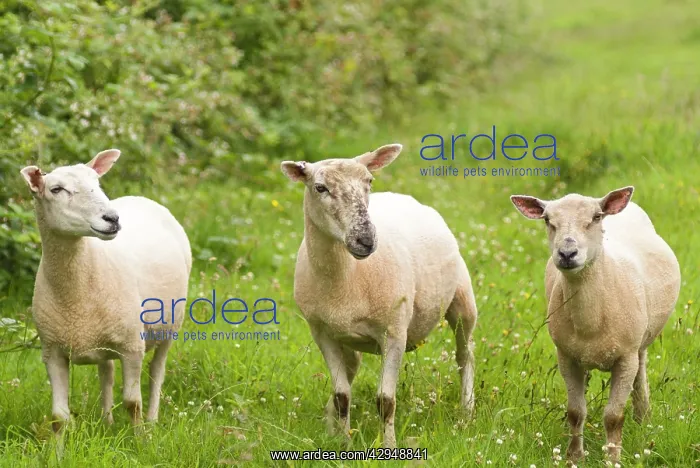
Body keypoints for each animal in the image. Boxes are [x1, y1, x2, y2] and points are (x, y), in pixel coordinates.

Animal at [20, 149, 191, 432]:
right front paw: (59, 447)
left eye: (97, 183)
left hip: (170, 326)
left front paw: (140, 439)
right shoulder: (52, 351)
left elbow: (133, 403)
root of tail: (140, 198)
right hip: (103, 336)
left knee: (157, 372)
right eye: (56, 189)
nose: (113, 218)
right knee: (107, 373)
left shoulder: (132, 345)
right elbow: (59, 417)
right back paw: (107, 422)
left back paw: (152, 421)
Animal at [281, 144, 478, 448]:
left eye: (369, 182)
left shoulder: (394, 333)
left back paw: (466, 411)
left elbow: (386, 401)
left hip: (462, 300)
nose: (365, 240)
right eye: (320, 188)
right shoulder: (322, 334)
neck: (347, 278)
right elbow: (342, 396)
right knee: (351, 369)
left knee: (464, 355)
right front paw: (344, 443)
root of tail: (403, 197)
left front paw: (389, 446)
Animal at [510, 186, 680, 463]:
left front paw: (612, 459)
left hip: (640, 341)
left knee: (640, 372)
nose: (567, 254)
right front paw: (574, 457)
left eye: (596, 217)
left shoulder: (625, 357)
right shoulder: (566, 356)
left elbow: (613, 416)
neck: (590, 319)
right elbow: (575, 411)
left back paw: (643, 417)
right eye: (547, 220)